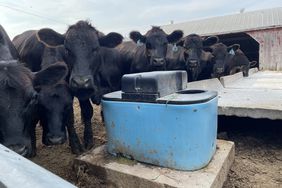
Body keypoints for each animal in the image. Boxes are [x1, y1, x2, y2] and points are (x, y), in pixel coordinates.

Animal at [30, 20, 124, 150]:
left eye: (95, 49)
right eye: (67, 50)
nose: (81, 81)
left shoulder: (114, 87)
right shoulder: (81, 93)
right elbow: (87, 111)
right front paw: (88, 139)